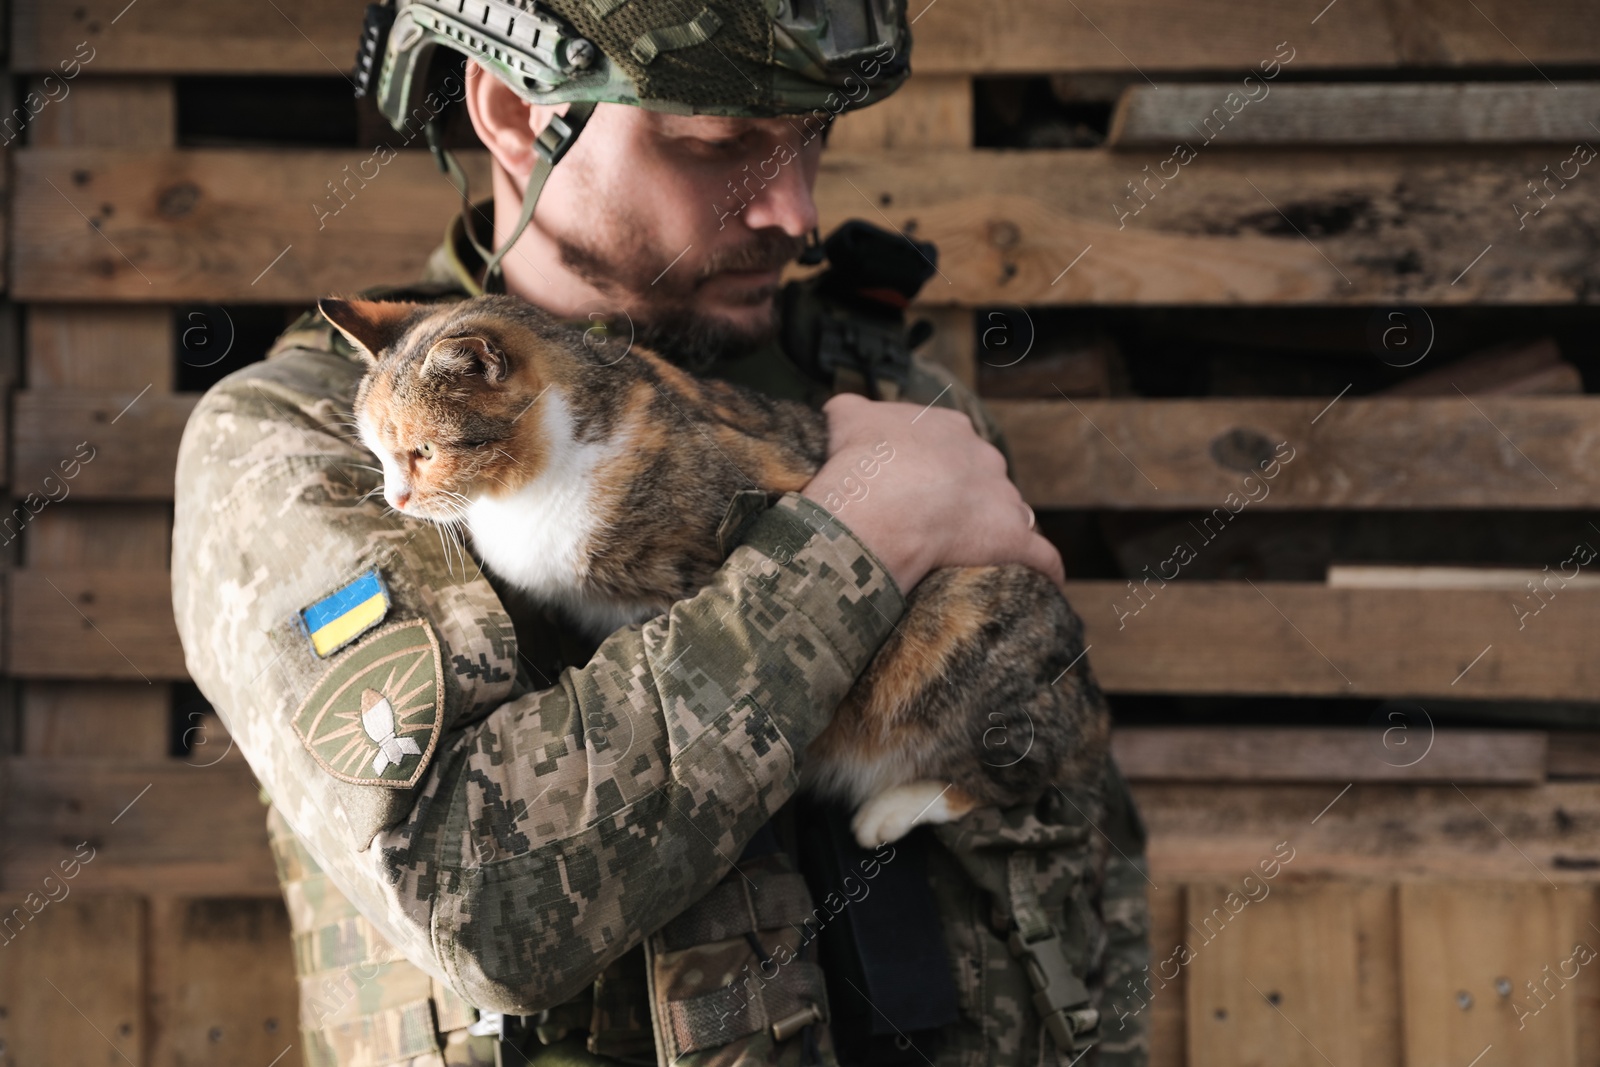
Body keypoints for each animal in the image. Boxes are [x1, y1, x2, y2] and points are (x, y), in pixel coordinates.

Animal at [318, 294, 1107, 851]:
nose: (394, 497)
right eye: (378, 452)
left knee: (1024, 773)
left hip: (958, 631)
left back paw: (894, 807)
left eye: (422, 450)